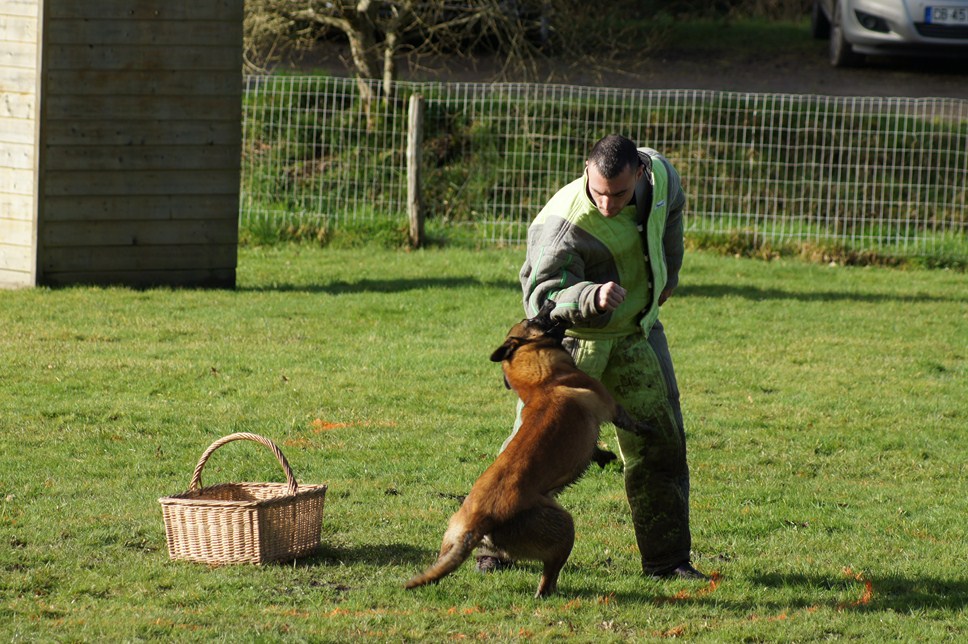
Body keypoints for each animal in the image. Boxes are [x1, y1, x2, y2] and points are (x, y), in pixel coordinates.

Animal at [404, 302, 656, 600]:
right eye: (532, 319)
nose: (549, 302)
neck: (541, 384)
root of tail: (479, 522)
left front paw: (603, 456)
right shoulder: (610, 405)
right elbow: (630, 420)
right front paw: (648, 427)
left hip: (452, 533)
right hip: (563, 527)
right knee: (547, 581)